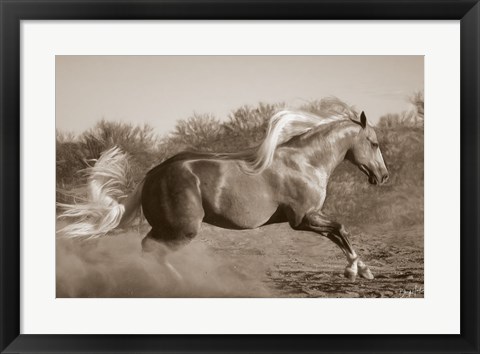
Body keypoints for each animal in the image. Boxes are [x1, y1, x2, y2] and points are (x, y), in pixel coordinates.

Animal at [59, 98, 390, 280]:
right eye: (374, 143)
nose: (383, 176)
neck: (306, 162)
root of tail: (153, 173)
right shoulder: (303, 218)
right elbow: (341, 229)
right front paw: (355, 270)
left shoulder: (311, 217)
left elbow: (338, 235)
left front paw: (362, 270)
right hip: (183, 230)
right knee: (152, 251)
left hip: (168, 228)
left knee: (148, 250)